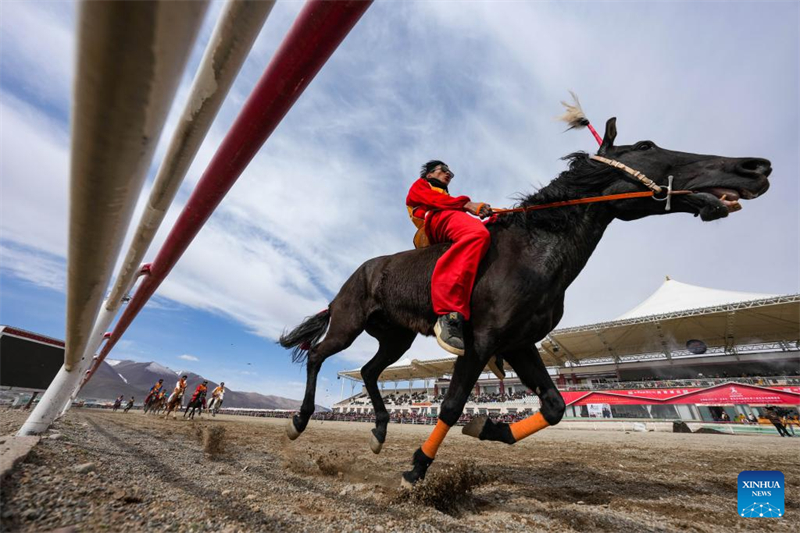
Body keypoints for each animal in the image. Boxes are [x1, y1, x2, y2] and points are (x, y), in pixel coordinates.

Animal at [279, 118, 771, 486]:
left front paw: (488, 426)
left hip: (394, 336)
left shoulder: (519, 343)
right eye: (647, 144)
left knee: (367, 370)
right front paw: (417, 467)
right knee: (319, 356)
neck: (534, 248)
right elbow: (452, 404)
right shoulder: (480, 341)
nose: (755, 166)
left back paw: (379, 430)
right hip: (348, 322)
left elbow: (553, 406)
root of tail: (355, 276)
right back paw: (299, 421)